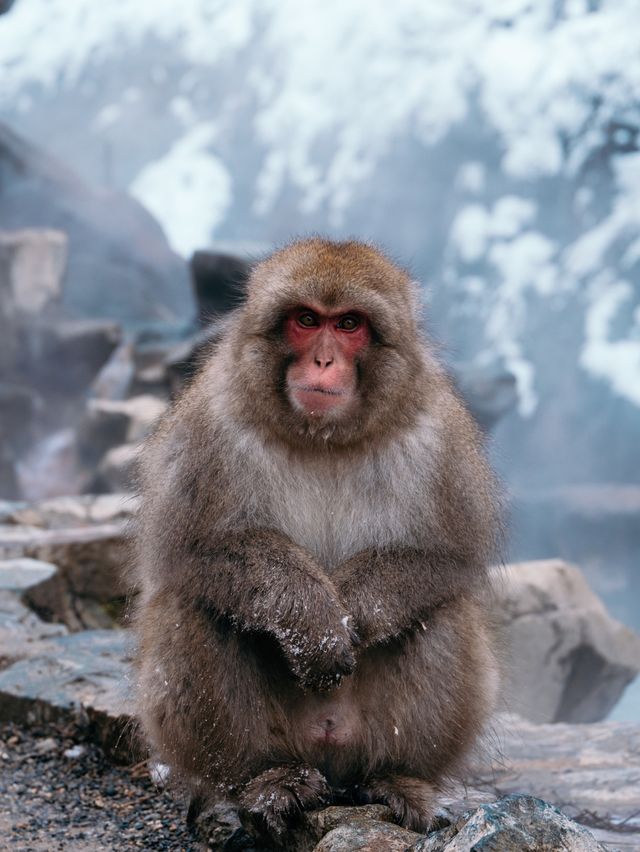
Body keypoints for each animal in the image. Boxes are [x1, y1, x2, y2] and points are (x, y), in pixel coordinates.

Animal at [135, 236, 502, 844]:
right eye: (306, 321)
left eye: (349, 324)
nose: (325, 361)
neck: (323, 439)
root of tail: (328, 751)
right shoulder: (204, 427)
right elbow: (194, 550)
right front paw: (316, 625)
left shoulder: (442, 435)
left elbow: (444, 559)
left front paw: (353, 612)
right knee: (196, 604)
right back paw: (266, 780)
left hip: (362, 741)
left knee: (441, 611)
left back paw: (396, 779)